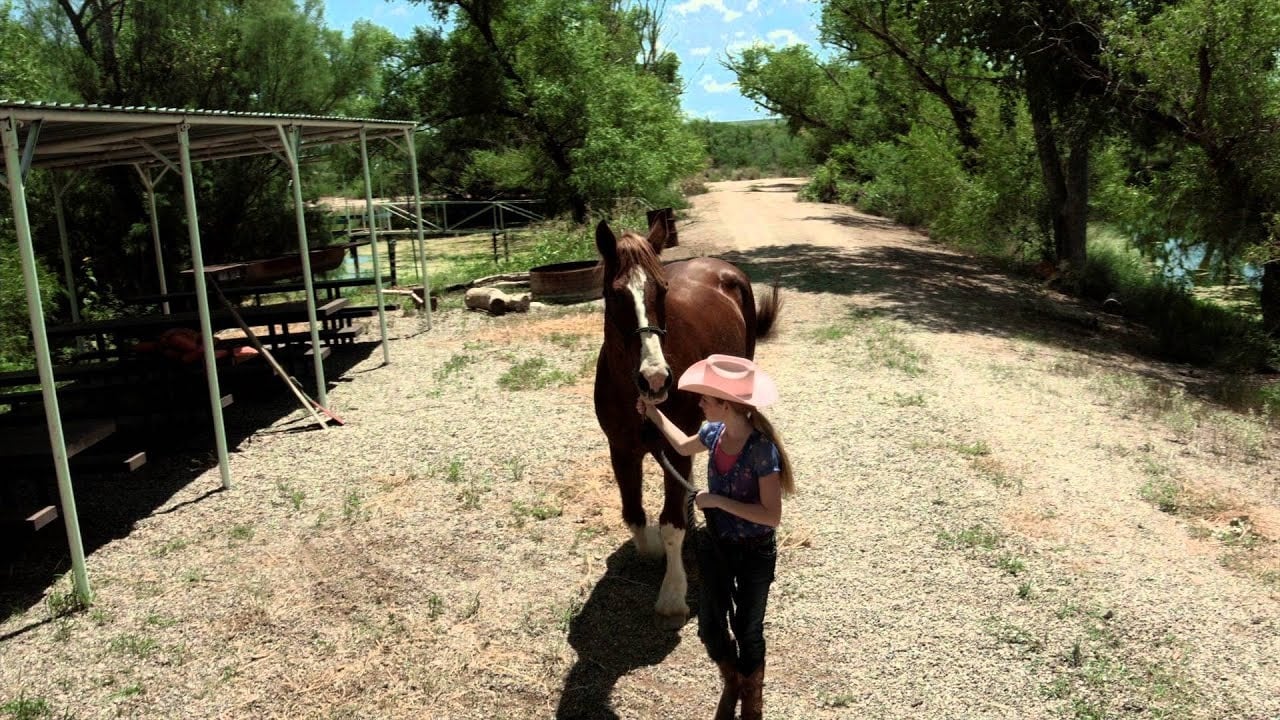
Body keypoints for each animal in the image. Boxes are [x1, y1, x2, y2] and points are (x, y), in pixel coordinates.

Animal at [593, 216, 780, 624]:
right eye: (615, 294)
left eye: (662, 290)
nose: (655, 379)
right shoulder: (621, 450)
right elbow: (634, 513)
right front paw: (651, 551)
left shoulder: (674, 451)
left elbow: (671, 525)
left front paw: (672, 593)